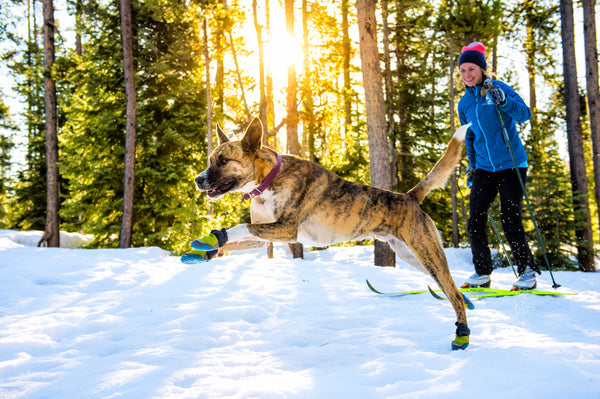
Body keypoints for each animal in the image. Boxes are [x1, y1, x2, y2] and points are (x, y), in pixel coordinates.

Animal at [195, 118, 472, 350]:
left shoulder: (286, 228)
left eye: (223, 161)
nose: (198, 179)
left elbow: (239, 227)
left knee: (454, 294)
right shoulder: (265, 237)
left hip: (427, 253)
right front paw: (206, 249)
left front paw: (215, 237)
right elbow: (233, 240)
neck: (268, 180)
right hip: (412, 256)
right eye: (210, 160)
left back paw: (462, 336)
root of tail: (409, 197)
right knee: (453, 289)